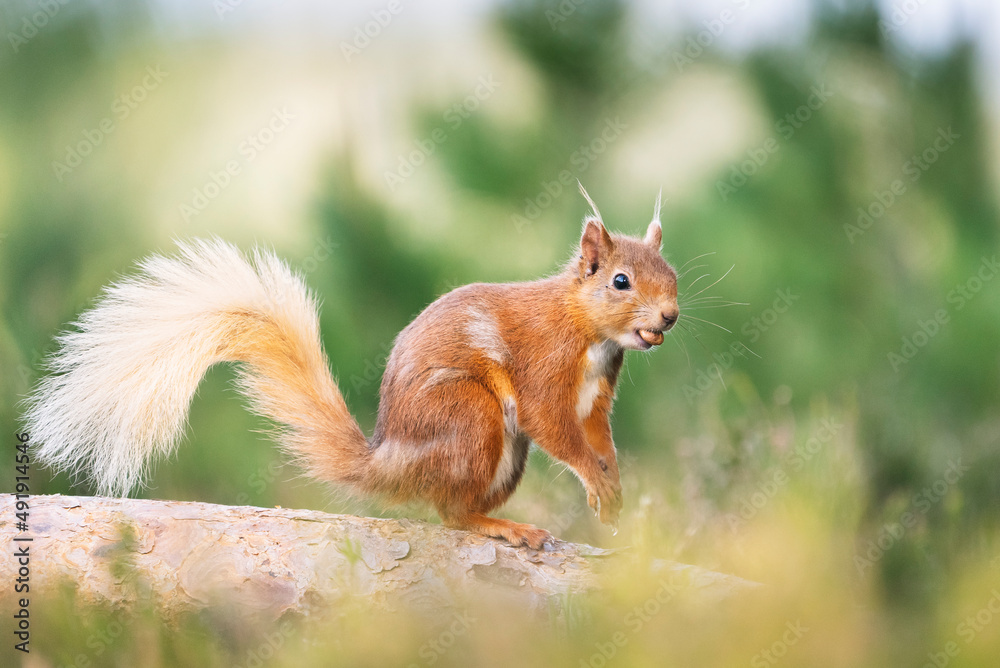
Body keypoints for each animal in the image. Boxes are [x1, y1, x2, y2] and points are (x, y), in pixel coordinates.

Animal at [23, 187, 680, 548]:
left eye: (671, 274)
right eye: (621, 281)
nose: (669, 317)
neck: (591, 334)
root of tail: (390, 456)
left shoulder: (596, 397)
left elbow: (597, 438)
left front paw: (613, 486)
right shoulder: (545, 368)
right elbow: (558, 430)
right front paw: (597, 483)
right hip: (473, 416)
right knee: (451, 515)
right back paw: (504, 527)